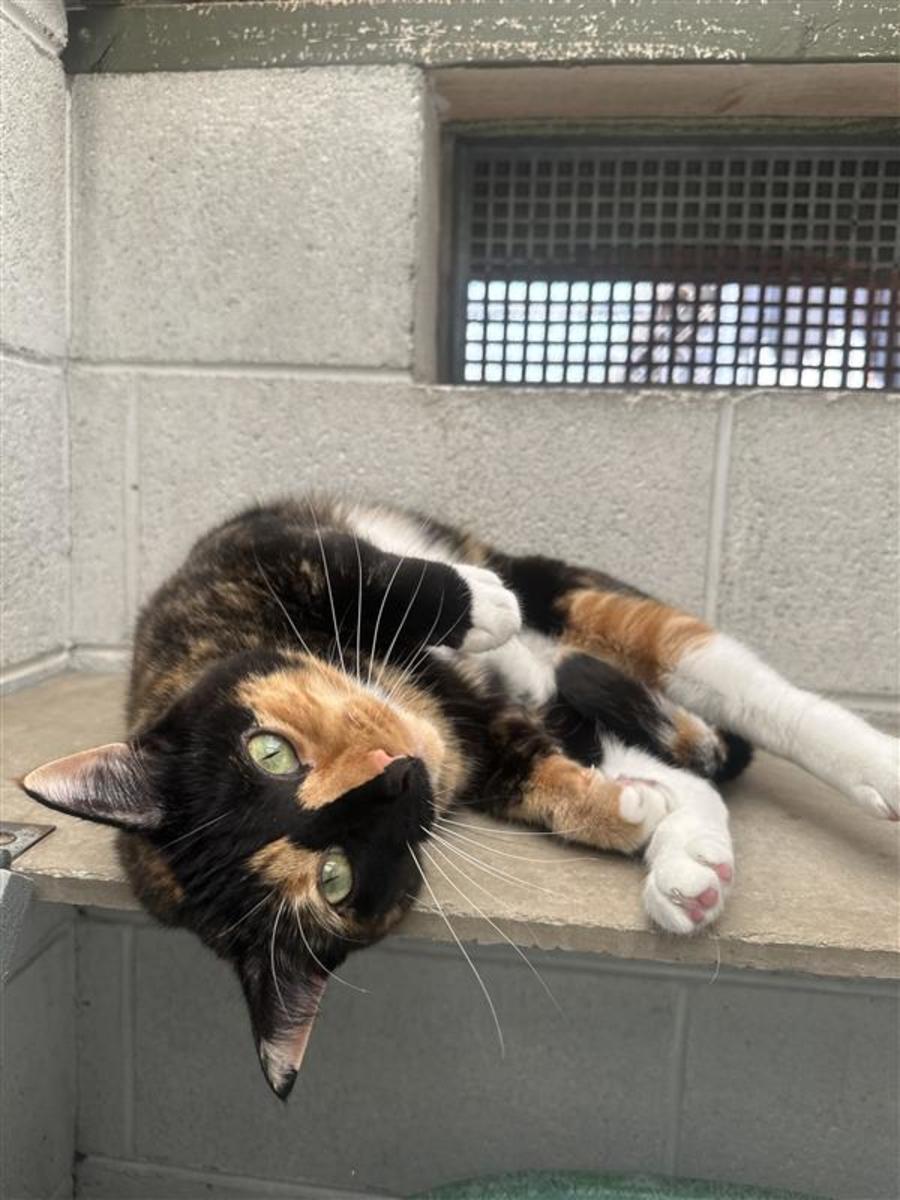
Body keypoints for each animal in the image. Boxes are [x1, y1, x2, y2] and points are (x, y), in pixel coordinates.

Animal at [20, 495, 898, 1098]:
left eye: (269, 753)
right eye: (335, 878)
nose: (396, 772)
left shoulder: (249, 554)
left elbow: (362, 571)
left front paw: (482, 605)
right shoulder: (487, 742)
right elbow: (538, 779)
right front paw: (622, 815)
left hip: (593, 607)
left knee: (761, 698)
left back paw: (876, 768)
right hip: (572, 697)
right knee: (678, 769)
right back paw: (691, 867)